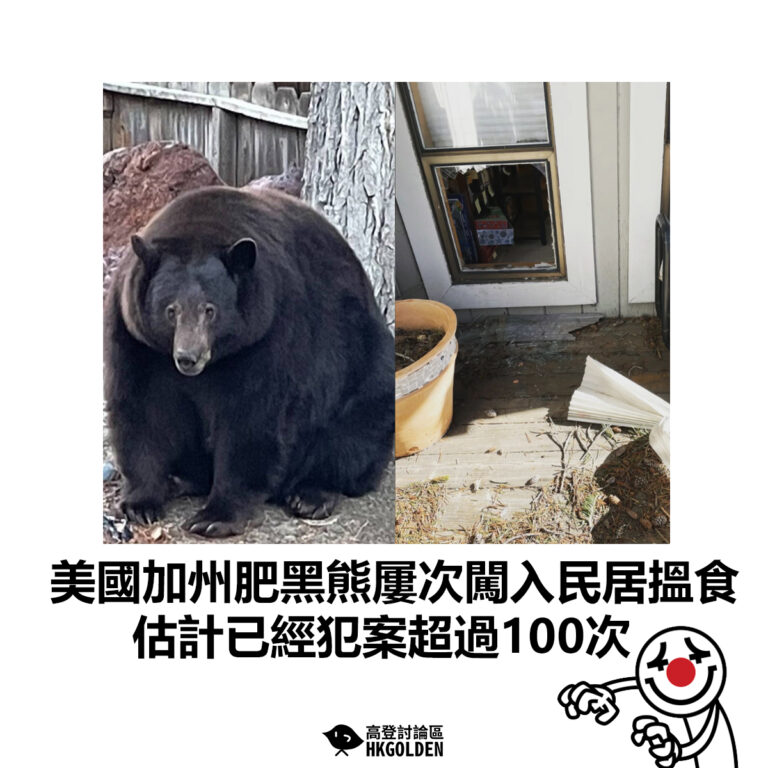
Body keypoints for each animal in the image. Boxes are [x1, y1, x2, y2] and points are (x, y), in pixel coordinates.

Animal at [104, 186, 394, 537]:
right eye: (171, 310)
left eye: (210, 309)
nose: (188, 358)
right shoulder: (136, 338)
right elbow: (142, 408)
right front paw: (141, 503)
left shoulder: (269, 331)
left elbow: (253, 416)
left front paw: (215, 516)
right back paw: (181, 479)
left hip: (363, 367)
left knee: (354, 434)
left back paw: (310, 495)